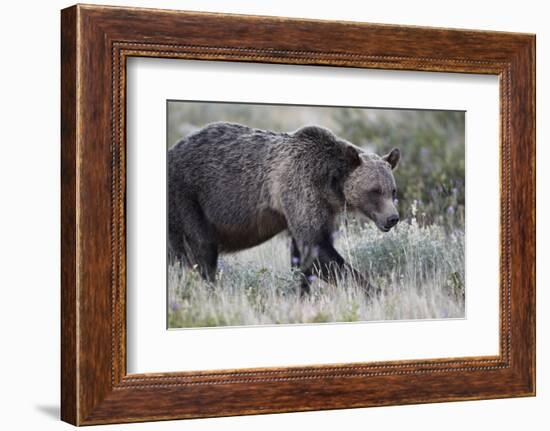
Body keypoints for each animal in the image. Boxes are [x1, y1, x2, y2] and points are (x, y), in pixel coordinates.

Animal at [168, 123, 402, 296]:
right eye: (374, 191)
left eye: (392, 190)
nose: (392, 218)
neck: (329, 183)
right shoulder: (299, 187)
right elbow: (316, 248)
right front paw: (377, 291)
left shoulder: (319, 208)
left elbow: (303, 256)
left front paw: (302, 293)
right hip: (188, 199)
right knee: (202, 249)